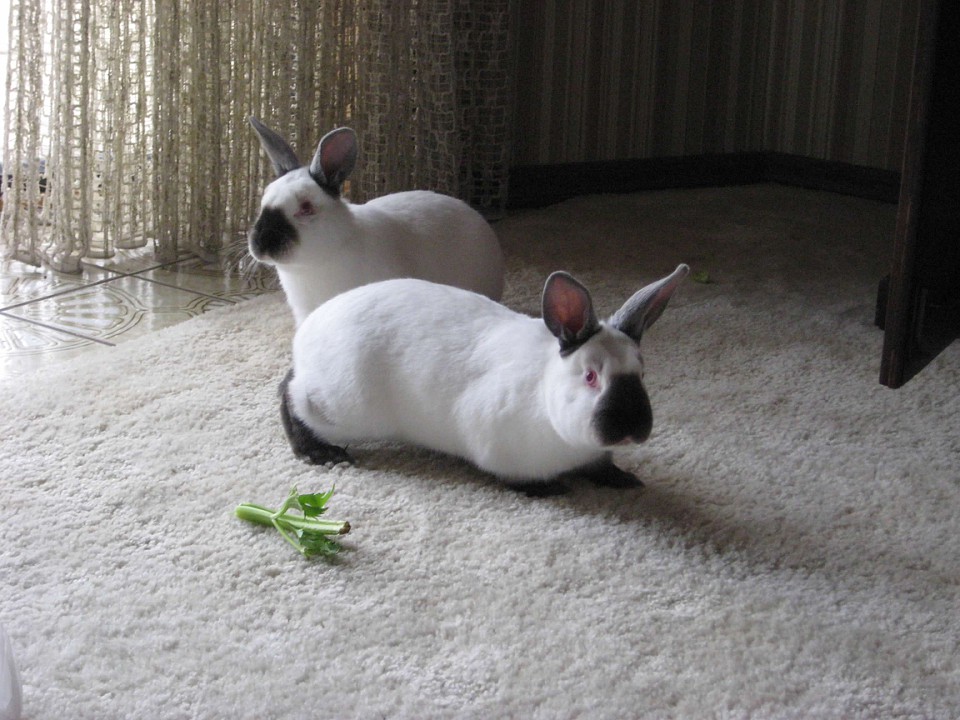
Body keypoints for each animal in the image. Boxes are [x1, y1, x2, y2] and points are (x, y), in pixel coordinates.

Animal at [279, 264, 689, 493]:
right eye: (590, 376)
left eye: (642, 372)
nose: (630, 428)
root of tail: (307, 334)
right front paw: (550, 489)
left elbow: (601, 468)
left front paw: (624, 479)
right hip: (346, 405)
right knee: (292, 395)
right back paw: (323, 454)